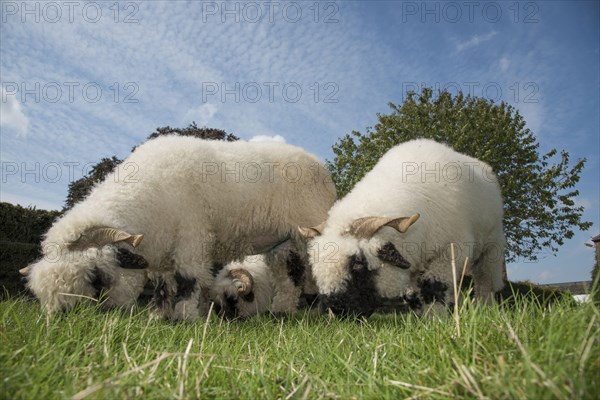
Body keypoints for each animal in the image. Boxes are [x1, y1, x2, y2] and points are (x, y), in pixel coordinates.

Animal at [23, 136, 338, 320]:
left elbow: (188, 278)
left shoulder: (192, 234)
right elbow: (163, 285)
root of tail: (319, 164)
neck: (147, 197)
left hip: (310, 229)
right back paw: (282, 312)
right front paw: (158, 316)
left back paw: (319, 311)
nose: (61, 320)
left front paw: (185, 317)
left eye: (96, 278)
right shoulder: (161, 249)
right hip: (282, 242)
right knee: (289, 277)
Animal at [298, 139, 504, 318]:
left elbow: (435, 286)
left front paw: (435, 319)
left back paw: (484, 310)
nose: (335, 310)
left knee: (485, 282)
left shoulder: (451, 250)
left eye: (358, 264)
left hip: (491, 248)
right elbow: (412, 295)